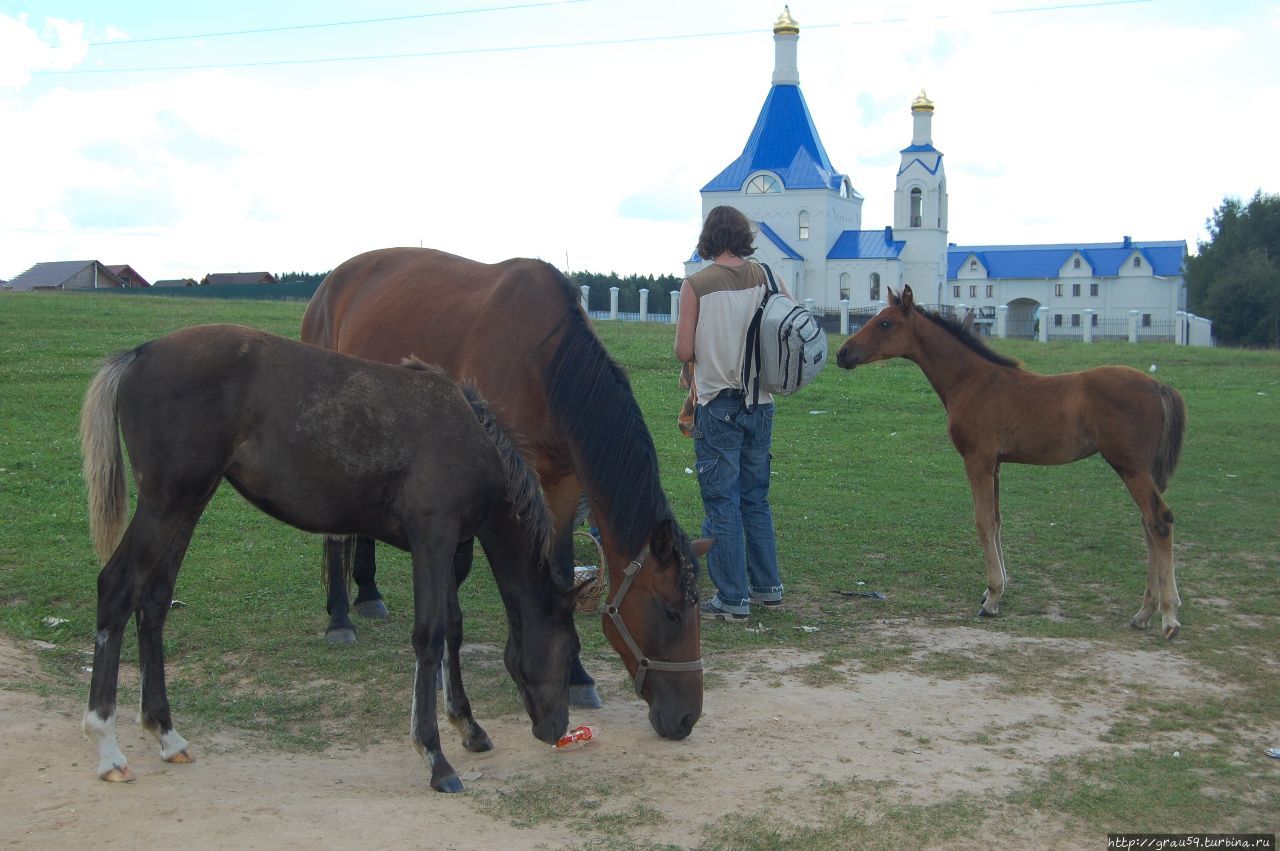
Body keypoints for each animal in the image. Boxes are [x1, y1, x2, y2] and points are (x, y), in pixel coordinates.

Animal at [80, 323, 581, 788]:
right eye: (569, 650)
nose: (557, 730)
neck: (474, 438)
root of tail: (140, 352)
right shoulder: (433, 540)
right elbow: (430, 636)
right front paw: (435, 757)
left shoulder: (453, 546)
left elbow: (453, 630)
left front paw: (469, 727)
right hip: (166, 504)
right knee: (117, 588)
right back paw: (107, 749)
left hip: (189, 504)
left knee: (153, 602)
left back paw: (167, 735)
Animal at [303, 245, 711, 737]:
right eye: (671, 612)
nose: (687, 716)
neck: (544, 362)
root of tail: (331, 281)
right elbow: (457, 572)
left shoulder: (562, 485)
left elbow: (559, 571)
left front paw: (576, 676)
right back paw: (340, 616)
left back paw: (367, 592)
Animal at [834, 286, 1182, 637]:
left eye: (886, 323)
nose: (842, 353)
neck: (972, 380)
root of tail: (1158, 385)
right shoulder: (996, 464)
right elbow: (998, 521)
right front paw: (994, 589)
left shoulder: (977, 460)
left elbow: (984, 522)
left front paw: (992, 598)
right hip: (1141, 470)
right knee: (1147, 525)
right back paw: (1146, 612)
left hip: (1130, 467)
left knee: (1159, 520)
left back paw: (1167, 616)